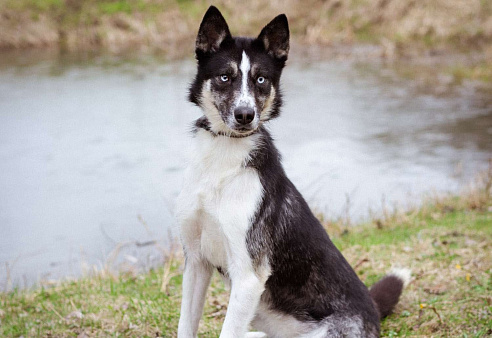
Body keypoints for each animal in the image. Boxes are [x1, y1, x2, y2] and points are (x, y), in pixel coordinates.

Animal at [177, 5, 412, 338]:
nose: (246, 115)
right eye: (225, 77)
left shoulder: (248, 276)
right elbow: (185, 324)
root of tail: (374, 313)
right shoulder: (196, 262)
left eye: (261, 79)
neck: (224, 157)